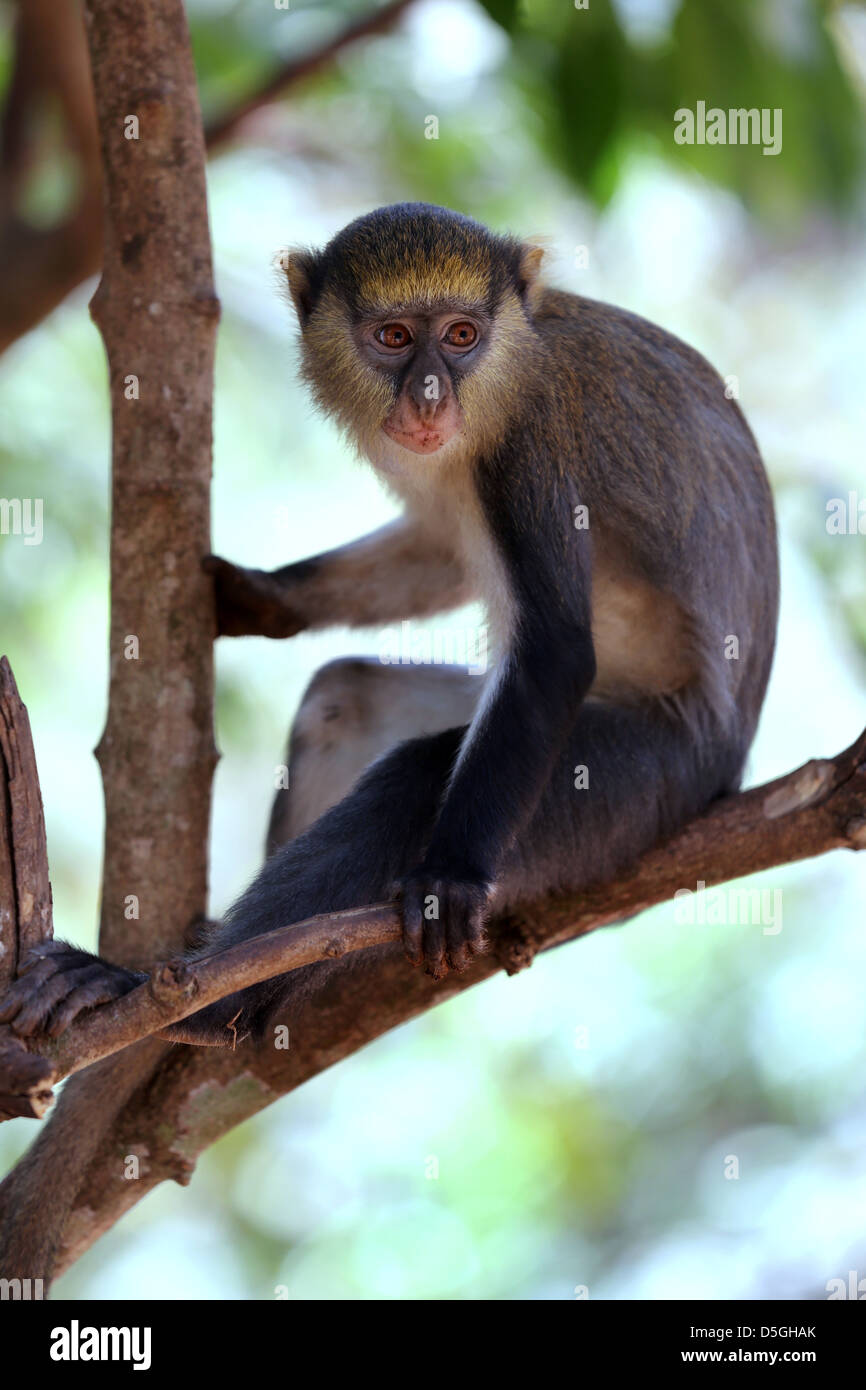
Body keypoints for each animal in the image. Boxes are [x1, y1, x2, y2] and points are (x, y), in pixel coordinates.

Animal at [0, 202, 778, 1045]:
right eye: (396, 337)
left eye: (462, 335)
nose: (430, 397)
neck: (512, 360)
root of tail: (727, 766)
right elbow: (438, 551)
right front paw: (258, 598)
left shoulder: (530, 447)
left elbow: (555, 653)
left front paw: (449, 880)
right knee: (343, 698)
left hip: (637, 784)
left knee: (417, 777)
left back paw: (196, 1007)